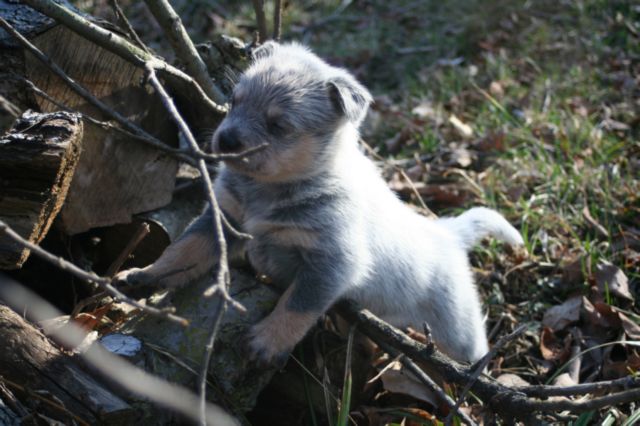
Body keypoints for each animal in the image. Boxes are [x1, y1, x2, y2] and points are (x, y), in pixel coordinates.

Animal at [116, 41, 524, 364]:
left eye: (279, 126)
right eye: (234, 102)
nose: (226, 140)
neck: (268, 191)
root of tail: (445, 233)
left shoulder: (332, 263)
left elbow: (297, 305)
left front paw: (267, 342)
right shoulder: (223, 217)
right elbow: (184, 249)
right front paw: (146, 273)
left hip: (457, 330)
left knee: (473, 351)